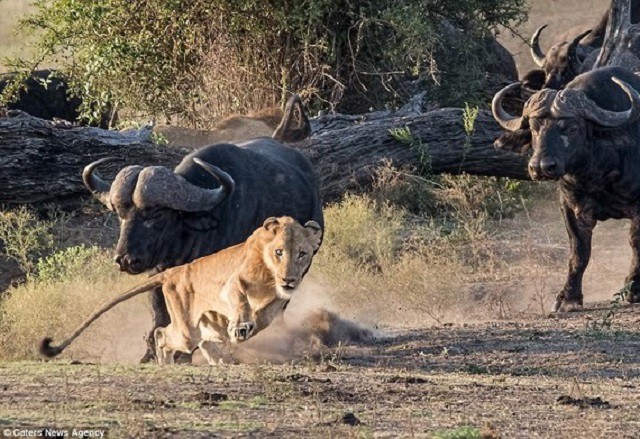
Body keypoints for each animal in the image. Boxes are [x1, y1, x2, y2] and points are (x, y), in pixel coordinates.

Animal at [84, 100, 322, 364]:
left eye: (156, 214)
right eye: (120, 213)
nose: (125, 259)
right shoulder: (159, 272)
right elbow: (159, 310)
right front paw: (152, 353)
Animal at [492, 66, 640, 312]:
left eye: (571, 128)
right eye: (534, 128)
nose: (541, 166)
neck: (594, 176)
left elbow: (635, 243)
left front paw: (633, 289)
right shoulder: (570, 207)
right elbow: (578, 251)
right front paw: (568, 297)